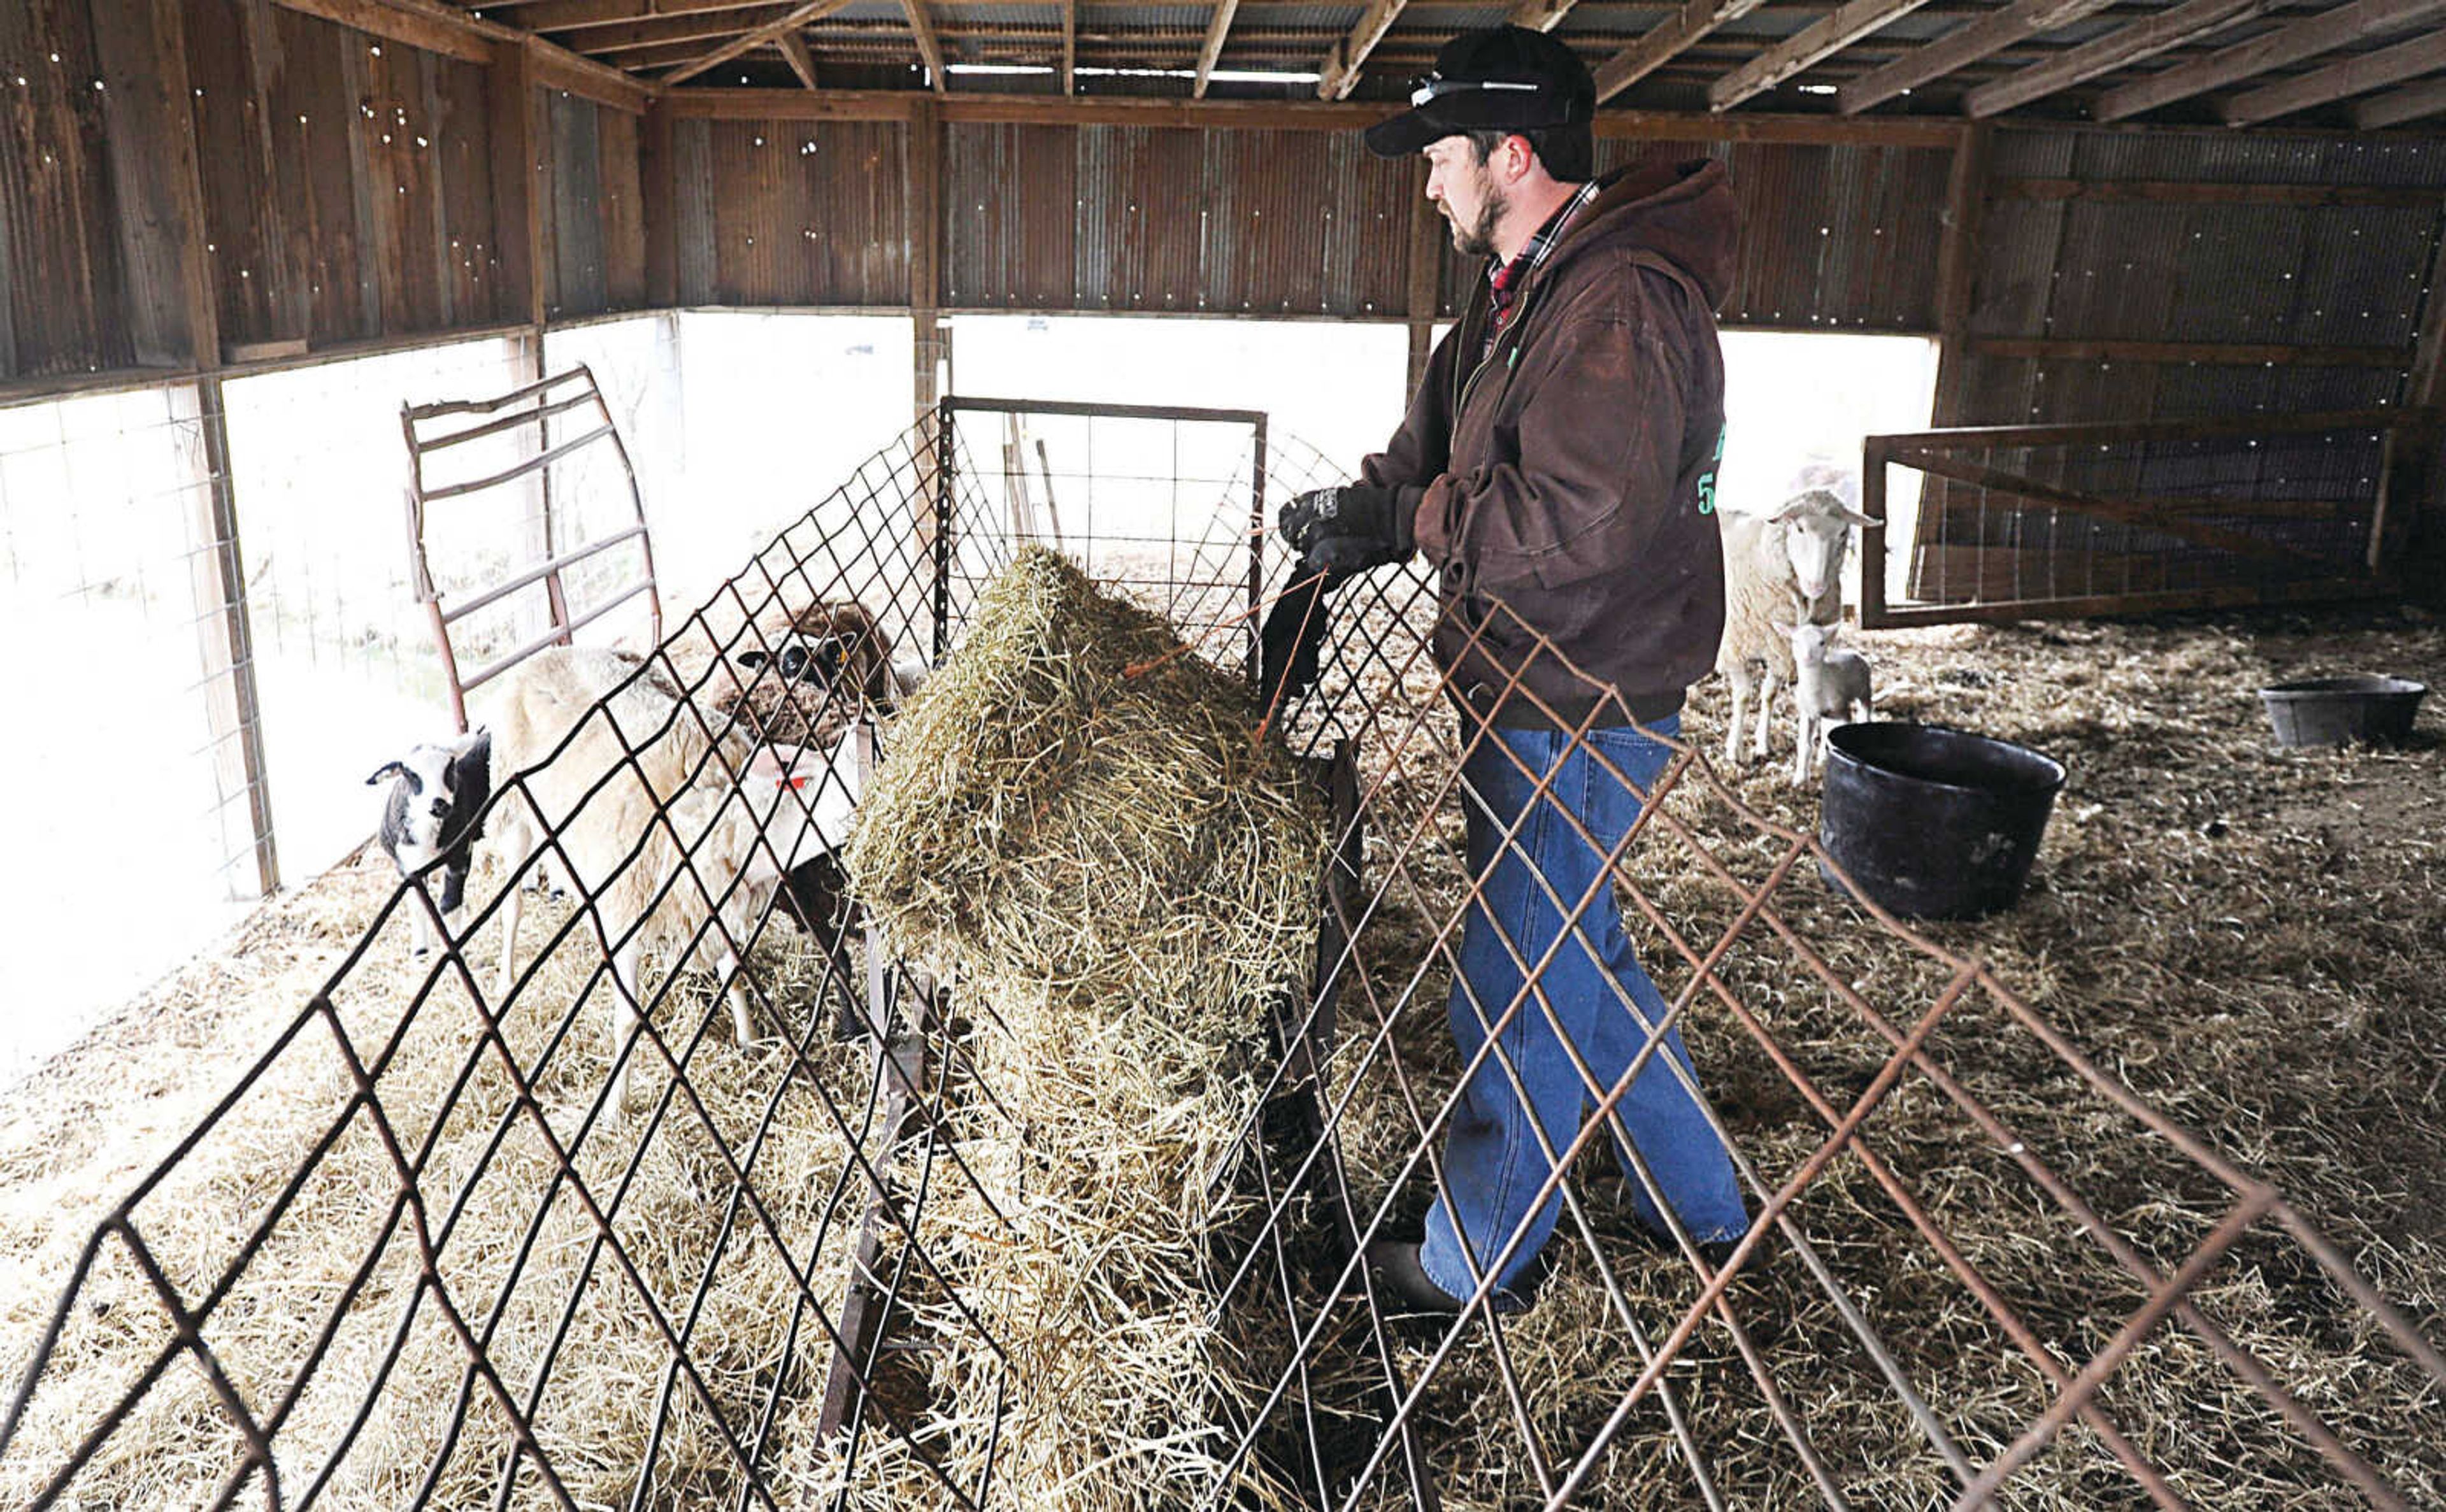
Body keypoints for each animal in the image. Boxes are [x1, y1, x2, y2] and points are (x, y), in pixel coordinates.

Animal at [362, 729, 491, 954]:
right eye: (410, 774)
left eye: (450, 765)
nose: (439, 805)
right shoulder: (406, 867)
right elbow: (418, 905)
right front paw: (420, 950)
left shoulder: (460, 854)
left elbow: (450, 904)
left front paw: (456, 944)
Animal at [1712, 481, 1878, 763]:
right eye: (1800, 528)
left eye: (1843, 533)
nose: (1817, 585)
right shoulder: (1734, 647)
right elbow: (1743, 697)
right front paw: (1735, 749)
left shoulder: (1781, 648)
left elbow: (1769, 695)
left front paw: (1762, 744)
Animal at [1780, 609, 1868, 783]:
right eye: (1795, 641)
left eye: (1822, 643)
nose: (1807, 658)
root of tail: (1852, 651)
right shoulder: (1807, 713)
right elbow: (1804, 745)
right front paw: (1800, 779)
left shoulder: (1843, 710)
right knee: (1827, 729)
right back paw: (1821, 757)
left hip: (1865, 690)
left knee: (1865, 712)